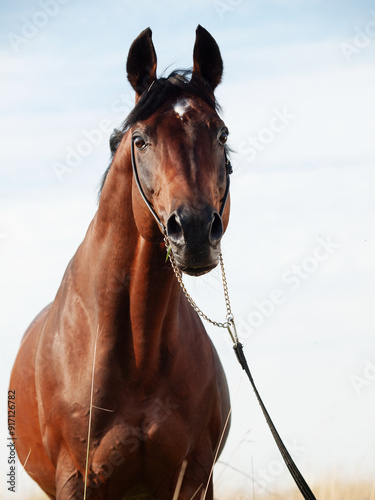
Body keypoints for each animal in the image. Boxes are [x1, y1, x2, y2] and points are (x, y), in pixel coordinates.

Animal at [10, 25, 232, 498]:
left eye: (221, 134)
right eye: (140, 140)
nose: (195, 230)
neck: (138, 353)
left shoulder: (193, 478)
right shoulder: (75, 479)